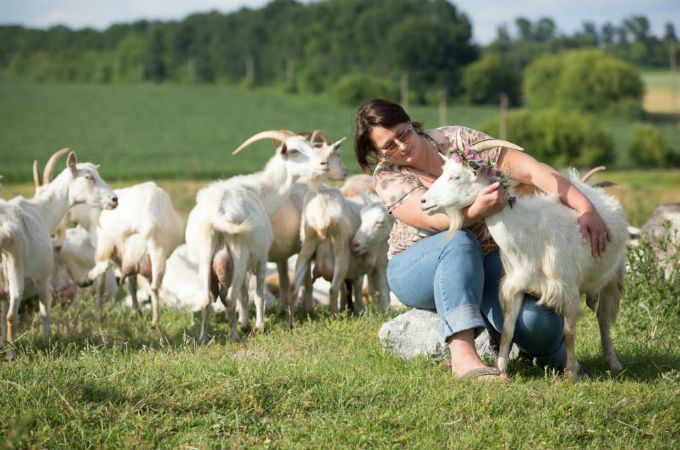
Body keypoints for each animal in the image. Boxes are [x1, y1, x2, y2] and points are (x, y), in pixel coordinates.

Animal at [0, 151, 117, 358]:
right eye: (89, 177)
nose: (114, 199)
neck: (40, 211)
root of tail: (4, 231)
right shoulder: (43, 280)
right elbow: (45, 314)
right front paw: (46, 345)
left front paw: (2, 344)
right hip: (16, 272)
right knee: (12, 315)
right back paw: (11, 355)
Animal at [189, 130, 330, 342]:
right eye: (295, 151)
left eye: (313, 146)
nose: (324, 164)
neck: (262, 193)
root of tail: (218, 210)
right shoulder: (260, 258)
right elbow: (258, 294)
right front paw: (258, 326)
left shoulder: (248, 265)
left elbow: (244, 295)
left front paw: (246, 324)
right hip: (238, 256)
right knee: (229, 298)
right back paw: (234, 337)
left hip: (206, 255)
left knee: (207, 299)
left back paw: (203, 339)